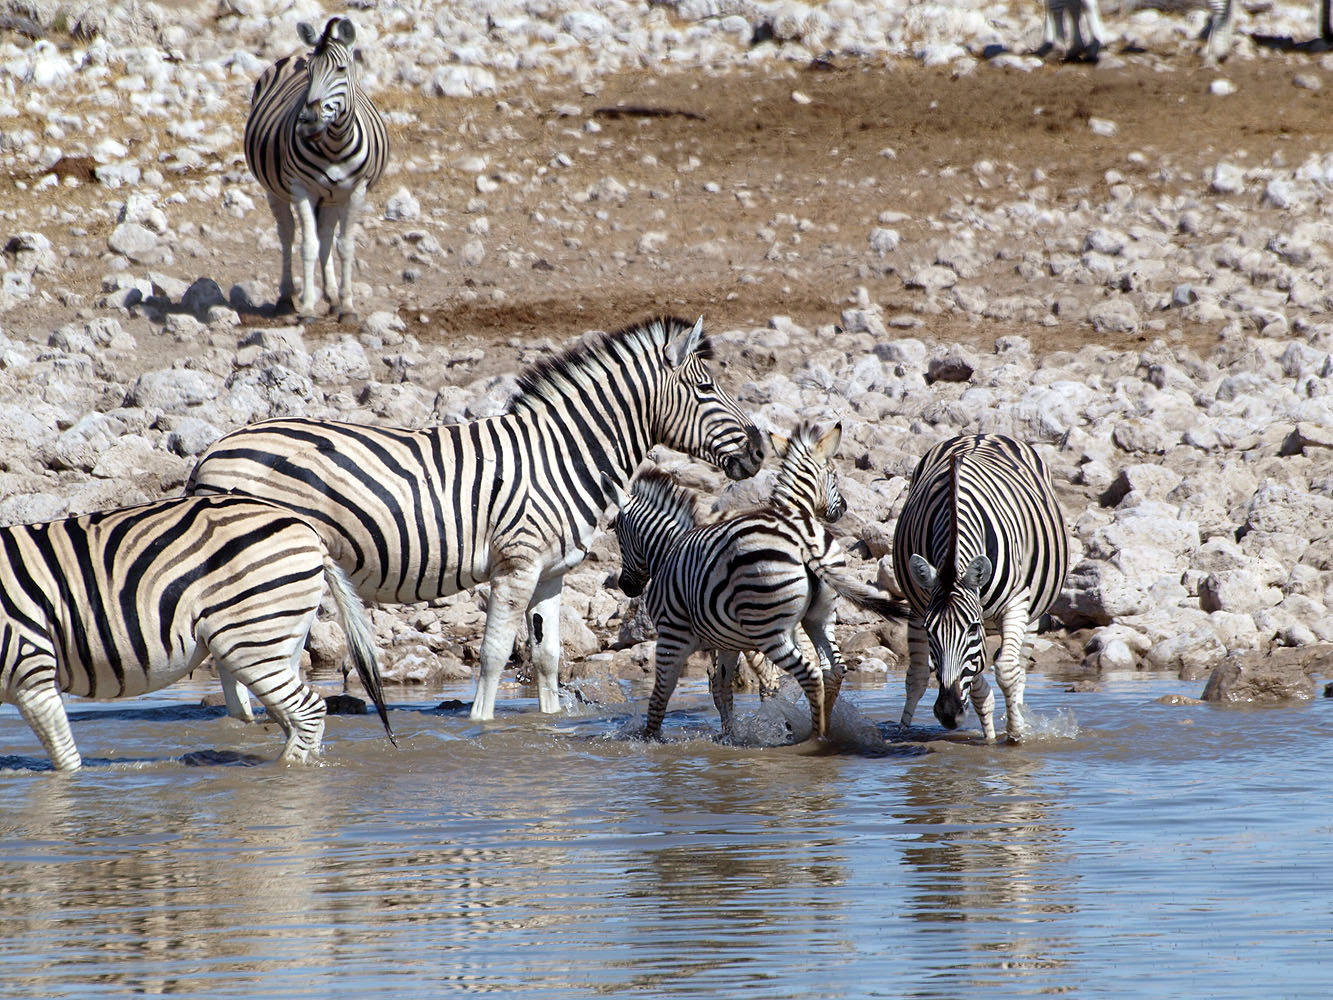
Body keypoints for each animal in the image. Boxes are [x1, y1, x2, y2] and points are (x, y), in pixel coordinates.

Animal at [0, 494, 394, 772]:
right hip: (280, 639)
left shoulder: (30, 669)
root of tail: (308, 529)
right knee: (292, 718)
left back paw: (284, 773)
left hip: (252, 641)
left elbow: (66, 764)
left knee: (307, 711)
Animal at [186, 316, 765, 723]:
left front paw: (548, 722)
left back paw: (247, 723)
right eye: (707, 389)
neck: (560, 456)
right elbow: (493, 654)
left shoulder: (550, 573)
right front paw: (481, 725)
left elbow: (547, 656)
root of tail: (212, 451)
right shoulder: (517, 563)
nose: (760, 453)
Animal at [244, 16, 389, 322]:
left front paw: (347, 306)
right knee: (287, 233)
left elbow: (344, 246)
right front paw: (309, 307)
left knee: (326, 235)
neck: (334, 145)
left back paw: (332, 297)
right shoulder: (301, 189)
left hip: (333, 196)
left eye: (341, 69)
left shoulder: (356, 191)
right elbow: (308, 245)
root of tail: (295, 55)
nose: (309, 121)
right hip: (275, 190)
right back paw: (286, 298)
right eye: (310, 72)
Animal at [606, 421, 908, 742]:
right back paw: (821, 728)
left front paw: (650, 740)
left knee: (805, 675)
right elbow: (722, 690)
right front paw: (730, 737)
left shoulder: (673, 634)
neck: (667, 550)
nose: (626, 586)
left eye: (616, 532)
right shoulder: (725, 640)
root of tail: (802, 539)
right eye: (835, 476)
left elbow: (661, 695)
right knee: (831, 669)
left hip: (769, 629)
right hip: (818, 616)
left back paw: (813, 737)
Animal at [891, 434, 1069, 743]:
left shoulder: (1015, 604)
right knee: (916, 676)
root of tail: (980, 435)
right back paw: (905, 729)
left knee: (1019, 669)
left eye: (972, 628)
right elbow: (974, 683)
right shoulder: (925, 607)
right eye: (930, 630)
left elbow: (1007, 671)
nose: (948, 713)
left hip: (1032, 611)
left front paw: (1014, 732)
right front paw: (989, 723)